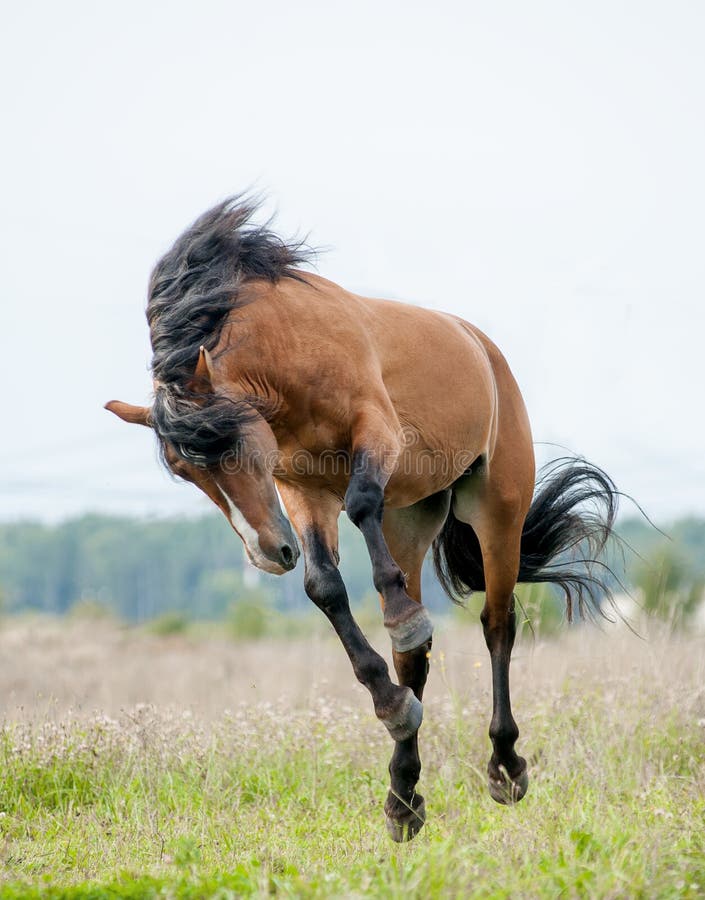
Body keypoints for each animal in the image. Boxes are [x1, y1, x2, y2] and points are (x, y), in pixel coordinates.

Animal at [106, 193, 616, 840]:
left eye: (232, 444)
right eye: (183, 469)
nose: (266, 555)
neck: (288, 353)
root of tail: (483, 347)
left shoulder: (376, 432)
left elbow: (362, 503)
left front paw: (400, 617)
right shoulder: (301, 489)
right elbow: (325, 587)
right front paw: (390, 703)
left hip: (498, 510)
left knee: (498, 626)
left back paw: (504, 767)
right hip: (412, 523)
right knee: (414, 660)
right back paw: (403, 795)